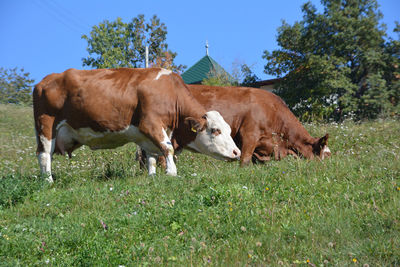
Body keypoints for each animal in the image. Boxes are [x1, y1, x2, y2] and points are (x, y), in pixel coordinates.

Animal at [32, 68, 241, 183]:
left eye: (229, 129)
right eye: (215, 130)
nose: (237, 152)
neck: (170, 91)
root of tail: (43, 81)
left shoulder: (149, 133)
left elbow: (151, 156)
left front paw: (152, 175)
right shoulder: (151, 123)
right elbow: (168, 148)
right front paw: (172, 172)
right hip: (46, 126)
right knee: (44, 155)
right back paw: (48, 181)